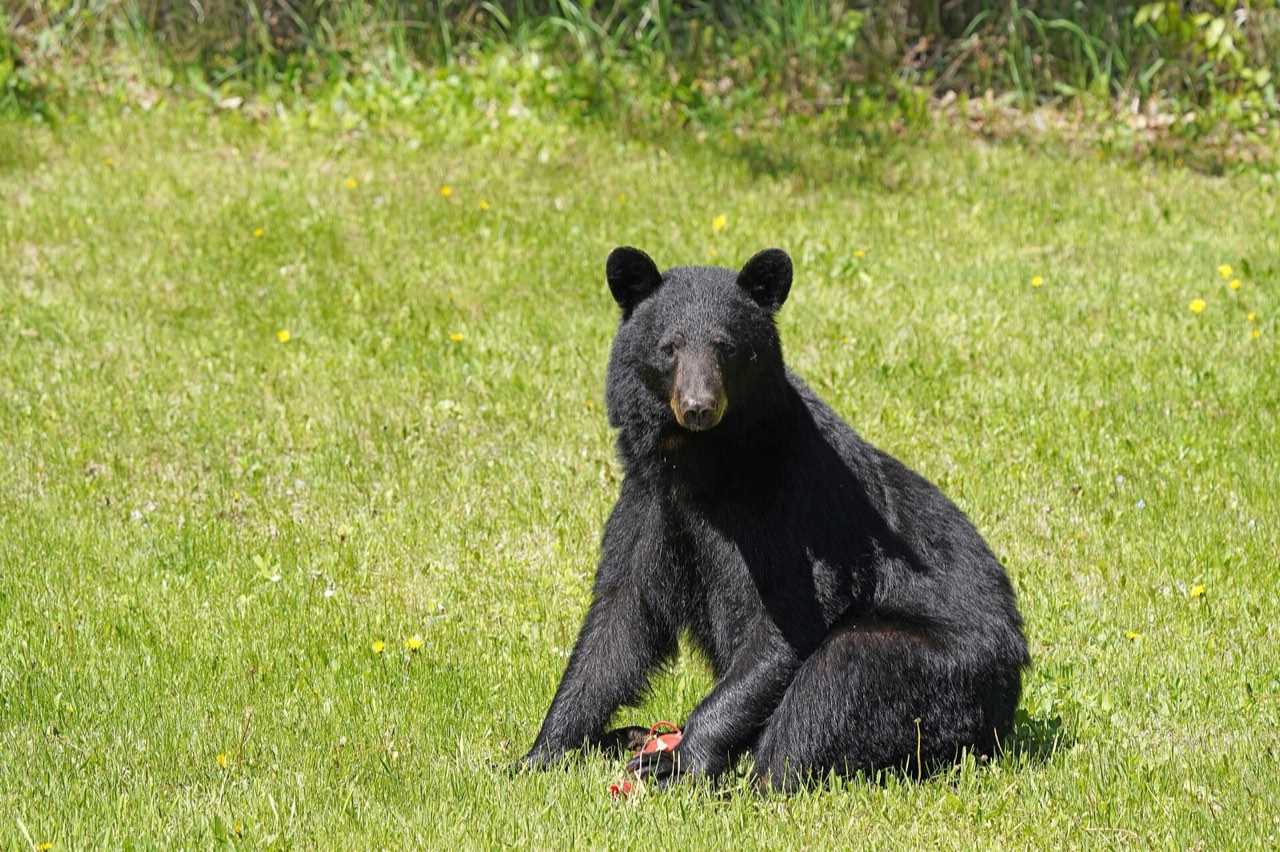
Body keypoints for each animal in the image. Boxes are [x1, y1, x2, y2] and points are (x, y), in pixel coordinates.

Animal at [521, 246, 1029, 792]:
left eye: (726, 348)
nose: (699, 407)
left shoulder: (790, 509)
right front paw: (538, 754)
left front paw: (677, 762)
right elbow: (620, 617)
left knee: (836, 680)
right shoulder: (648, 502)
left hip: (943, 666)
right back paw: (633, 736)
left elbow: (784, 620)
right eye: (669, 347)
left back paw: (749, 779)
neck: (702, 466)